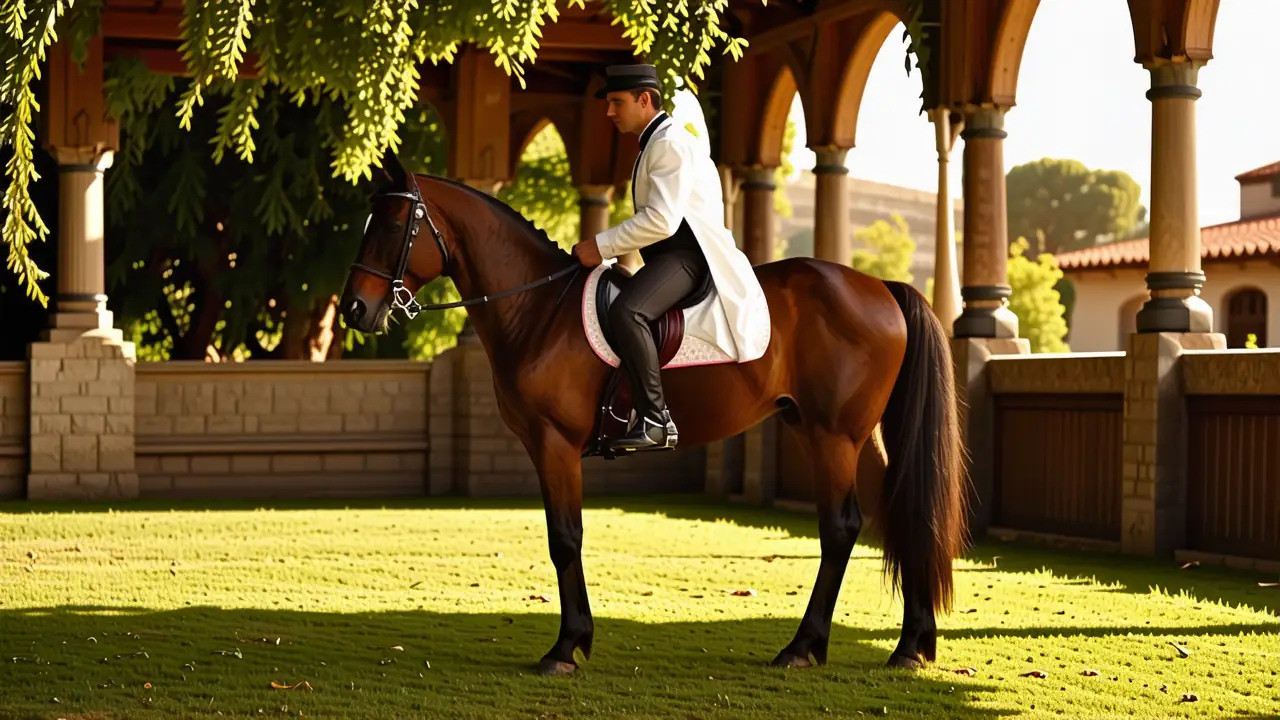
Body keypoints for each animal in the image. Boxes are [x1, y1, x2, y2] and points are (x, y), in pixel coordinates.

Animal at [339, 152, 968, 676]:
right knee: (903, 512)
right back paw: (910, 646)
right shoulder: (545, 447)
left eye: (392, 225)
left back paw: (803, 647)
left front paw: (566, 647)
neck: (540, 308)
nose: (354, 309)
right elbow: (563, 537)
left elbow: (565, 539)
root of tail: (879, 286)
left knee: (840, 528)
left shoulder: (554, 444)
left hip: (832, 435)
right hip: (853, 437)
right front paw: (576, 641)